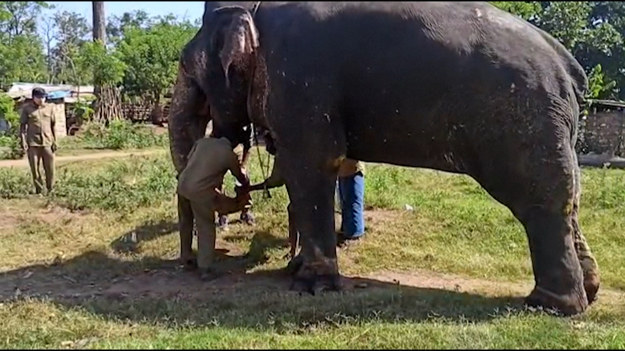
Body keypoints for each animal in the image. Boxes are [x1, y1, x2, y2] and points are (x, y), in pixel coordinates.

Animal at [167, 2, 600, 316]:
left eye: (187, 66)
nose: (186, 265)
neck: (257, 10)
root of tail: (569, 64)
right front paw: (295, 269)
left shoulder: (301, 82)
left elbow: (312, 165)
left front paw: (311, 285)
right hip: (551, 125)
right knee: (570, 199)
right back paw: (588, 292)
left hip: (523, 119)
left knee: (539, 202)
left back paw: (549, 306)